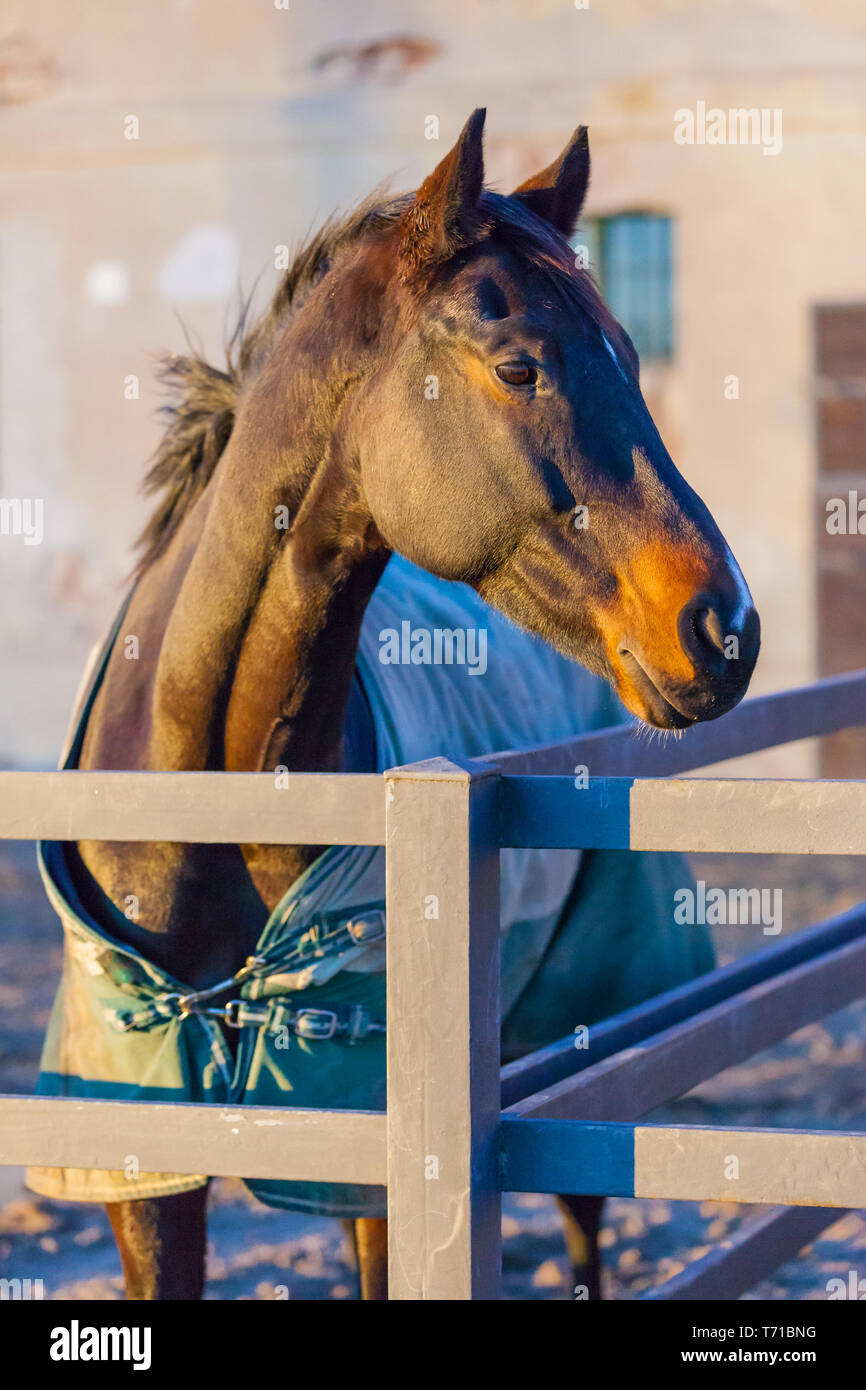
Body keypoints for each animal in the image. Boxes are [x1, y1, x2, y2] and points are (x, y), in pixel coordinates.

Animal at [26, 110, 759, 1300]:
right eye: (519, 365)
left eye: (631, 354)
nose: (724, 626)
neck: (211, 798)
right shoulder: (146, 1168)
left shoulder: (375, 1161)